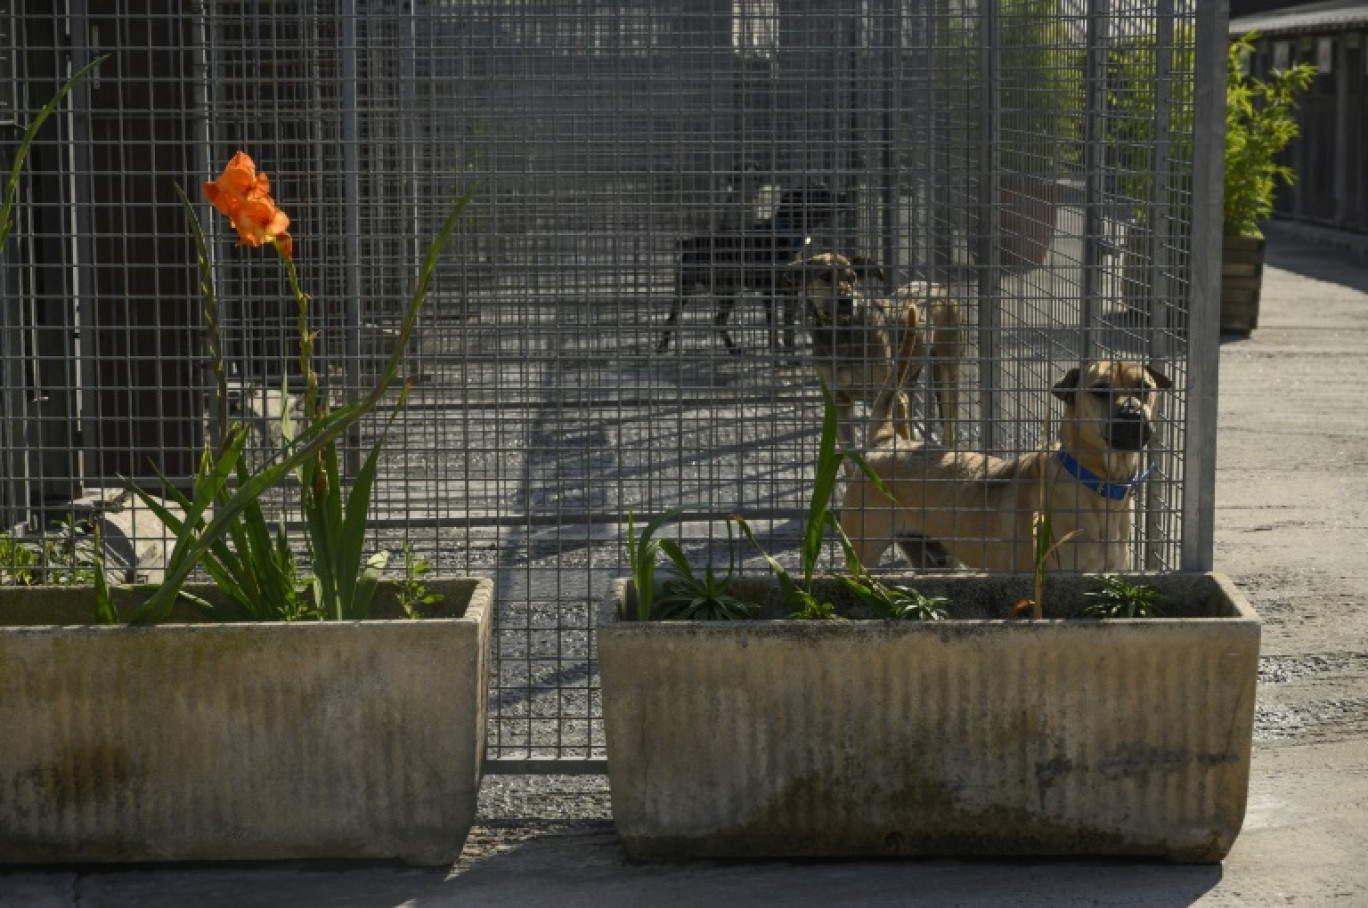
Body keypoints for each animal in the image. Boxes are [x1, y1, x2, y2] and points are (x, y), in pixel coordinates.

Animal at [656, 184, 837, 355]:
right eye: (821, 194)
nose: (841, 195)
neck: (785, 234)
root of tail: (688, 242)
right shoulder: (769, 291)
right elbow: (772, 323)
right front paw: (776, 348)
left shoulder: (792, 292)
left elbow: (788, 327)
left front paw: (788, 350)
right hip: (690, 288)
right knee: (673, 318)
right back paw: (663, 347)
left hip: (721, 292)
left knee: (717, 321)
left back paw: (733, 349)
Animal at [837, 361, 1171, 568]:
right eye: (1100, 390)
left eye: (1145, 388)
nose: (1132, 415)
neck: (1098, 483)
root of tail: (886, 441)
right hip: (863, 553)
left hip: (935, 556)